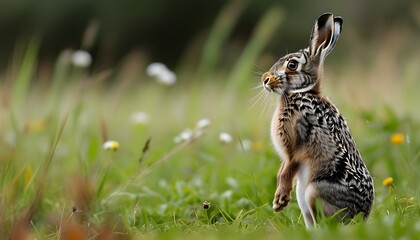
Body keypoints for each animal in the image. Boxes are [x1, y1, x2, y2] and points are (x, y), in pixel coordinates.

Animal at [262, 12, 374, 227]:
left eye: (292, 65)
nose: (265, 79)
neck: (302, 92)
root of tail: (362, 215)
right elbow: (282, 169)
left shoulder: (296, 144)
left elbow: (288, 169)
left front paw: (279, 200)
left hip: (314, 192)